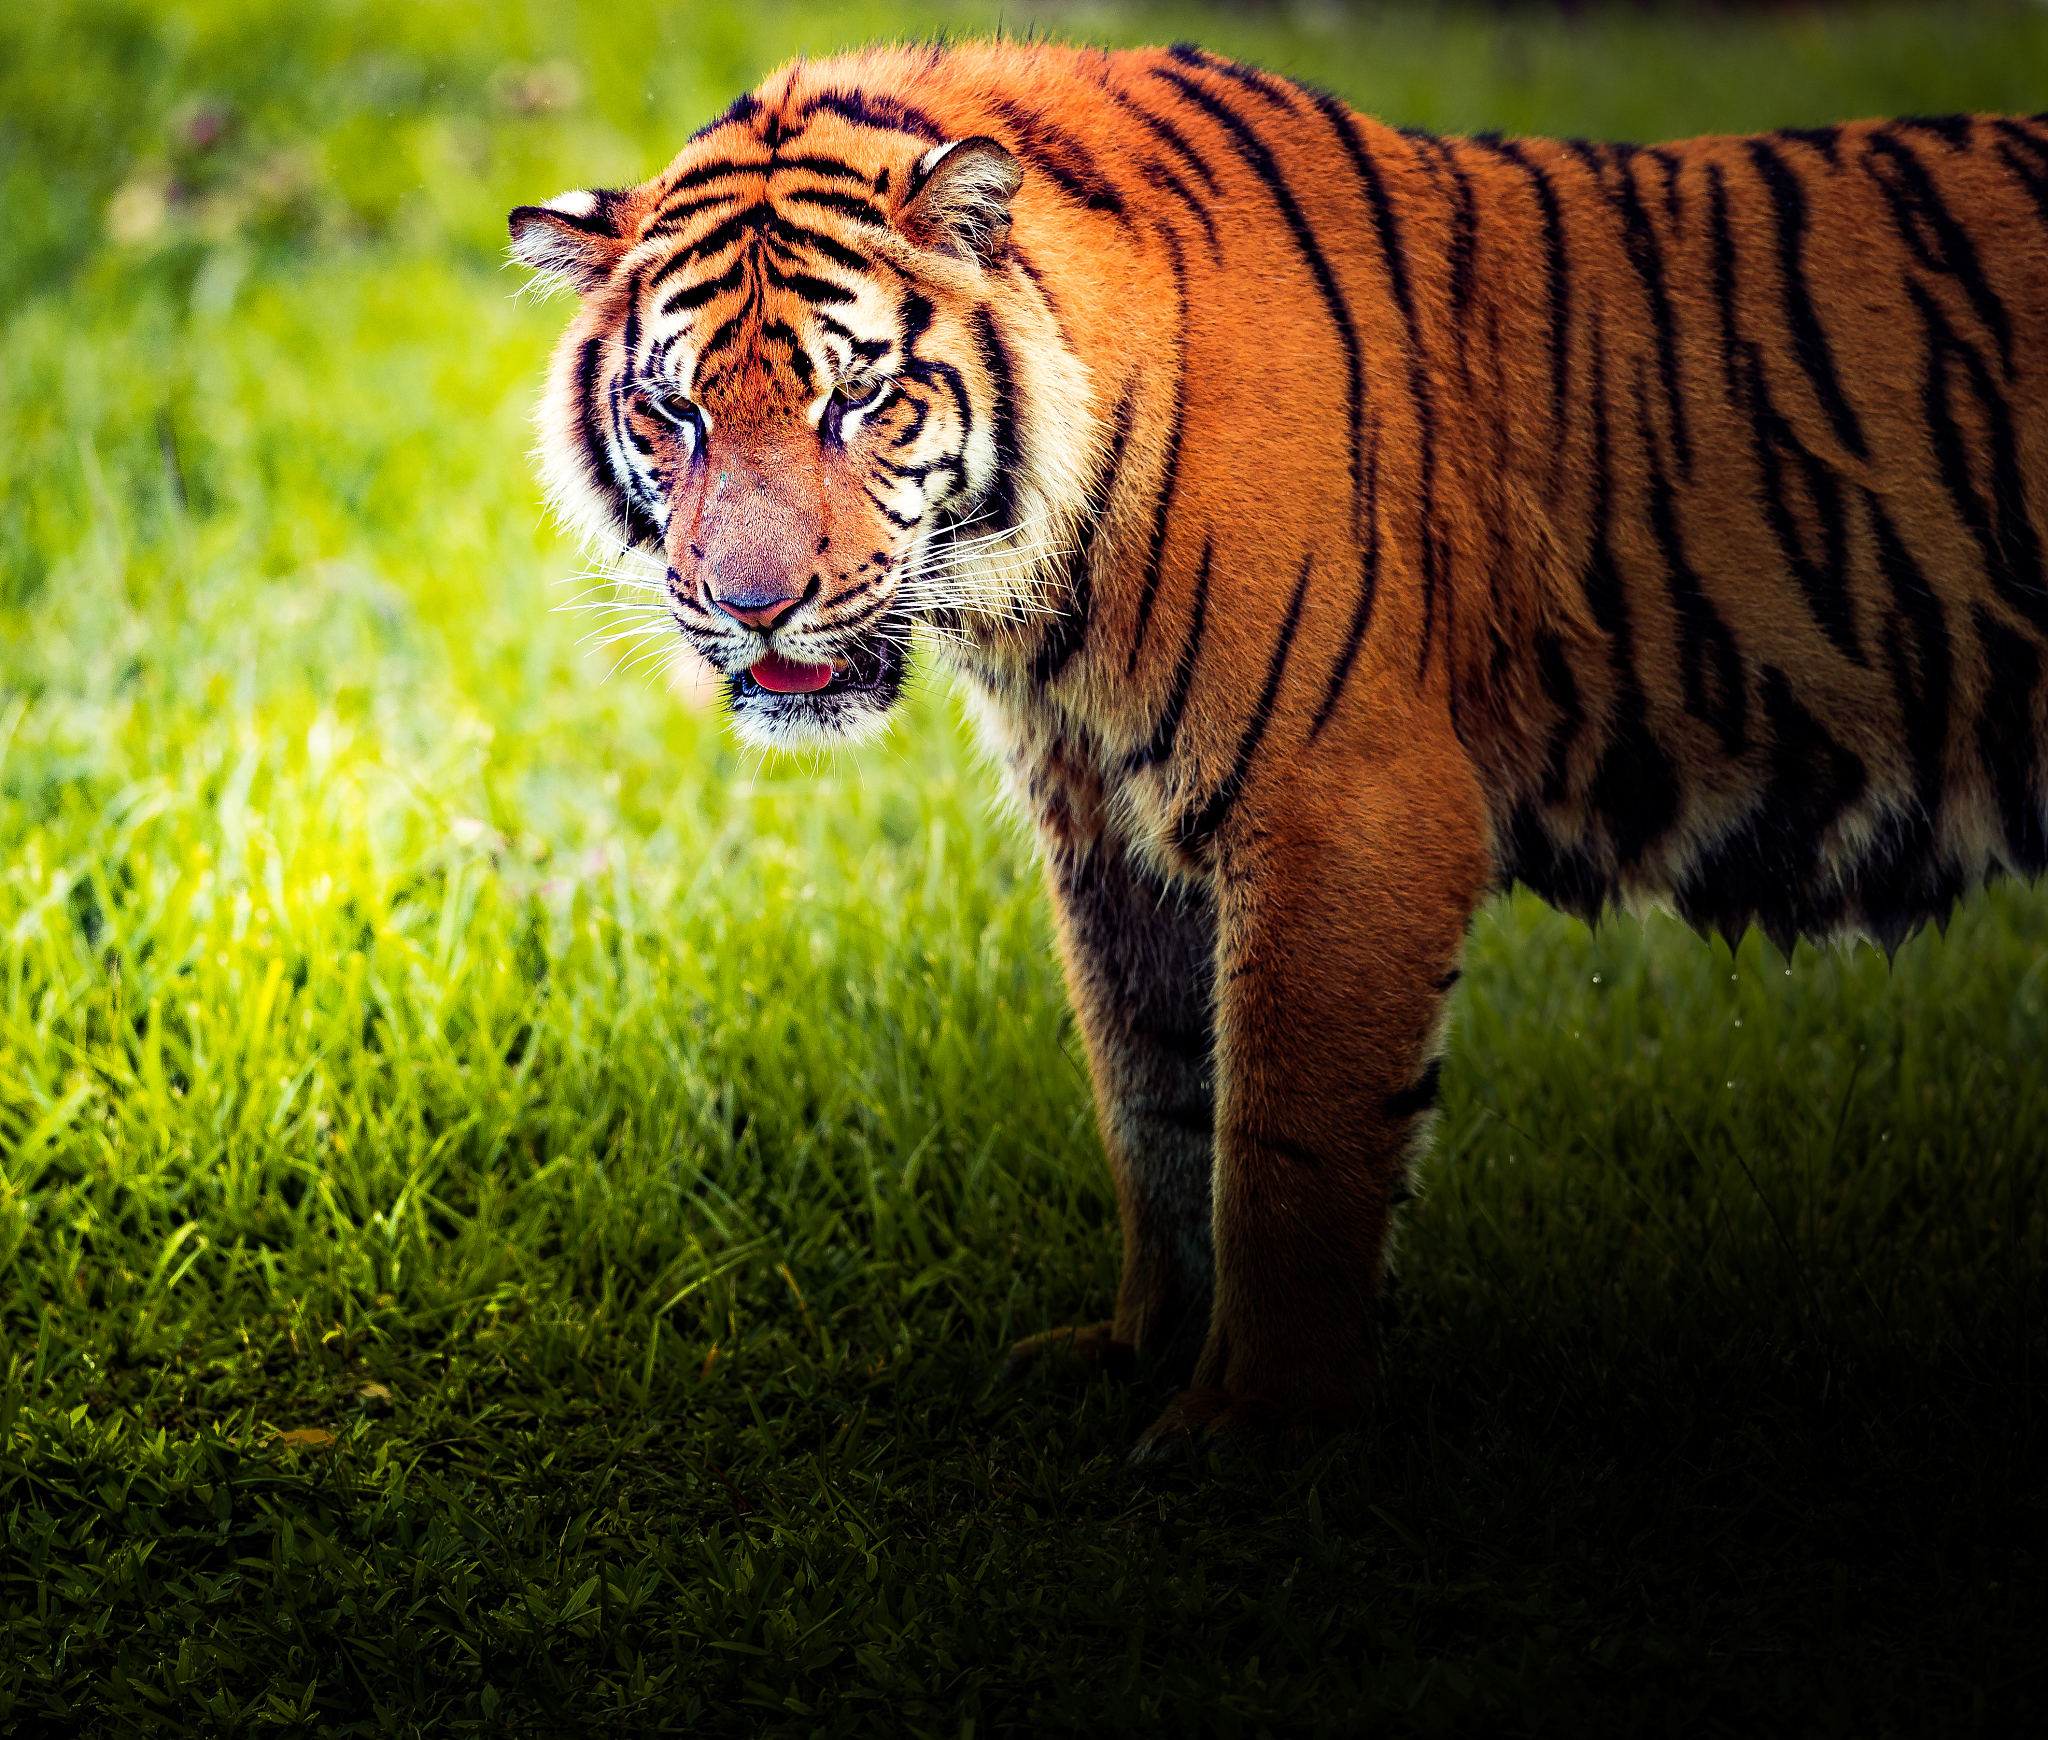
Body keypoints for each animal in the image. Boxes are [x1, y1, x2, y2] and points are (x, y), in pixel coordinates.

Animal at [511, 40, 2048, 1458]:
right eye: (671, 412)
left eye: (861, 398)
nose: (748, 606)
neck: (1047, 600)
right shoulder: (1107, 828)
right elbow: (1153, 1102)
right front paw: (1139, 1351)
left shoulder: (1343, 810)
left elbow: (1280, 1143)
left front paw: (1253, 1428)